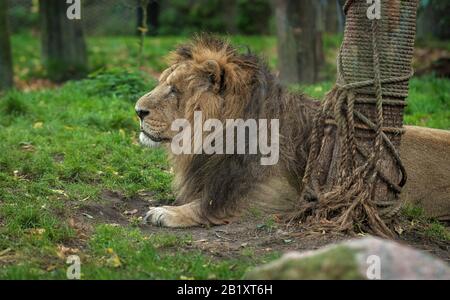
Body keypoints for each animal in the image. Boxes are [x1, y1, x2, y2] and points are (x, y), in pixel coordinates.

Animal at [134, 35, 450, 227]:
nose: (137, 111)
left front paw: (166, 212)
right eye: (163, 83)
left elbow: (209, 205)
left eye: (174, 90)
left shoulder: (280, 196)